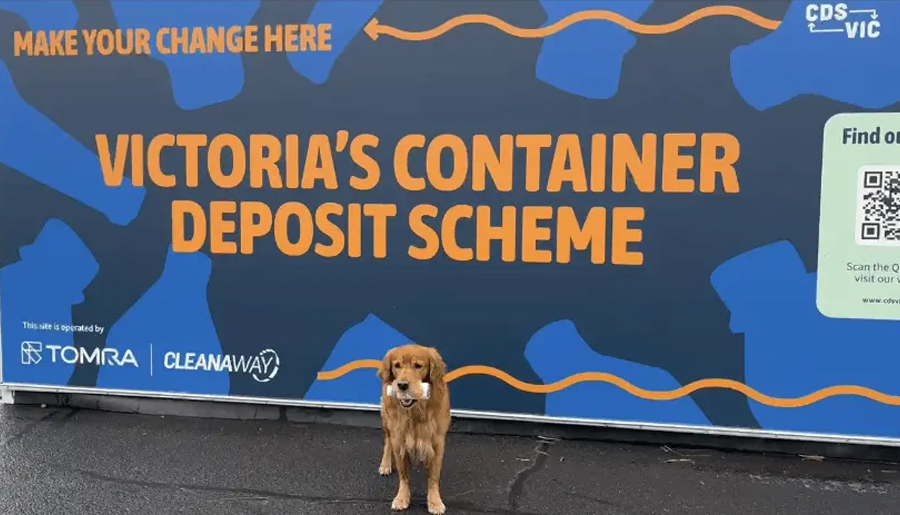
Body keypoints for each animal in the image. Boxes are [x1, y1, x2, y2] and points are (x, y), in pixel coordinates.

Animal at [378, 344, 450, 512]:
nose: (402, 385)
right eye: (397, 365)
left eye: (418, 366)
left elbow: (433, 477)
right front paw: (402, 498)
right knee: (387, 441)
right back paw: (385, 464)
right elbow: (404, 476)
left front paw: (435, 502)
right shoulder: (399, 442)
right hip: (387, 421)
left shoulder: (437, 444)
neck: (416, 412)